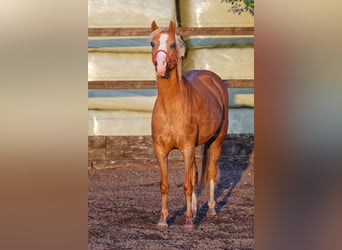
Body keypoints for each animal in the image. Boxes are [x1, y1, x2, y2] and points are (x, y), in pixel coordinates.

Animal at [150, 20, 228, 231]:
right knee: (194, 175)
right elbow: (165, 185)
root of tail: (214, 80)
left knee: (210, 172)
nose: (160, 66)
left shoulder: (187, 148)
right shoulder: (161, 150)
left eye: (172, 44)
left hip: (216, 142)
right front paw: (163, 220)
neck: (171, 108)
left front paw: (189, 221)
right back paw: (193, 207)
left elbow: (187, 185)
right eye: (152, 43)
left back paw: (210, 209)